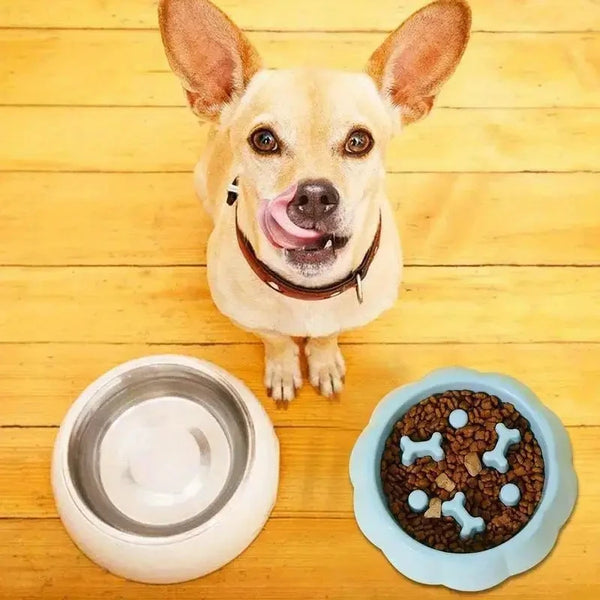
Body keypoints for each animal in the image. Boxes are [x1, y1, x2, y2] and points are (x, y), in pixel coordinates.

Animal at [157, 1, 472, 404]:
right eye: (263, 140)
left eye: (359, 141)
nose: (314, 196)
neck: (308, 294)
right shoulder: (253, 320)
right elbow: (275, 338)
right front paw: (283, 367)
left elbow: (326, 336)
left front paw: (323, 362)